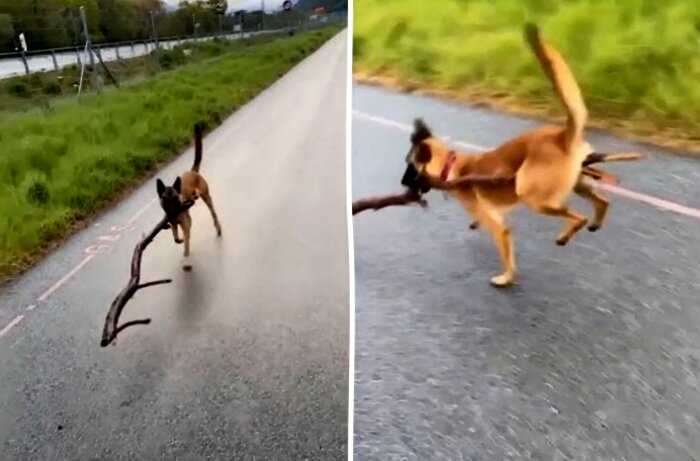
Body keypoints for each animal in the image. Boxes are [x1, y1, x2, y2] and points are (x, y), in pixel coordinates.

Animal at [157, 122, 223, 266]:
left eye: (175, 198)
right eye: (165, 199)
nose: (173, 209)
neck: (176, 213)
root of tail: (192, 171)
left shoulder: (186, 224)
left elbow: (186, 241)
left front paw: (186, 255)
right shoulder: (174, 224)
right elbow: (176, 238)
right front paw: (179, 240)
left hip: (207, 198)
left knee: (213, 213)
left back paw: (218, 228)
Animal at [402, 24, 644, 288]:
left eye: (409, 167)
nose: (402, 184)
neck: (452, 165)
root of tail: (561, 135)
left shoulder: (498, 227)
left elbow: (505, 252)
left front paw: (506, 278)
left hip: (531, 196)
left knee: (578, 216)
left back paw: (566, 234)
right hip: (577, 184)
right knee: (602, 202)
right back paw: (595, 222)